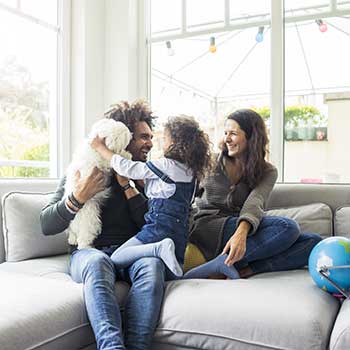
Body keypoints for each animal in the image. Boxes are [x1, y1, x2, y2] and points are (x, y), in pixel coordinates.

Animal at [64, 119, 133, 250]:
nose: (131, 135)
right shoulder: (102, 162)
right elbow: (113, 158)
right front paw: (126, 155)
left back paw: (72, 239)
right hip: (91, 217)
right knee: (86, 235)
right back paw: (84, 246)